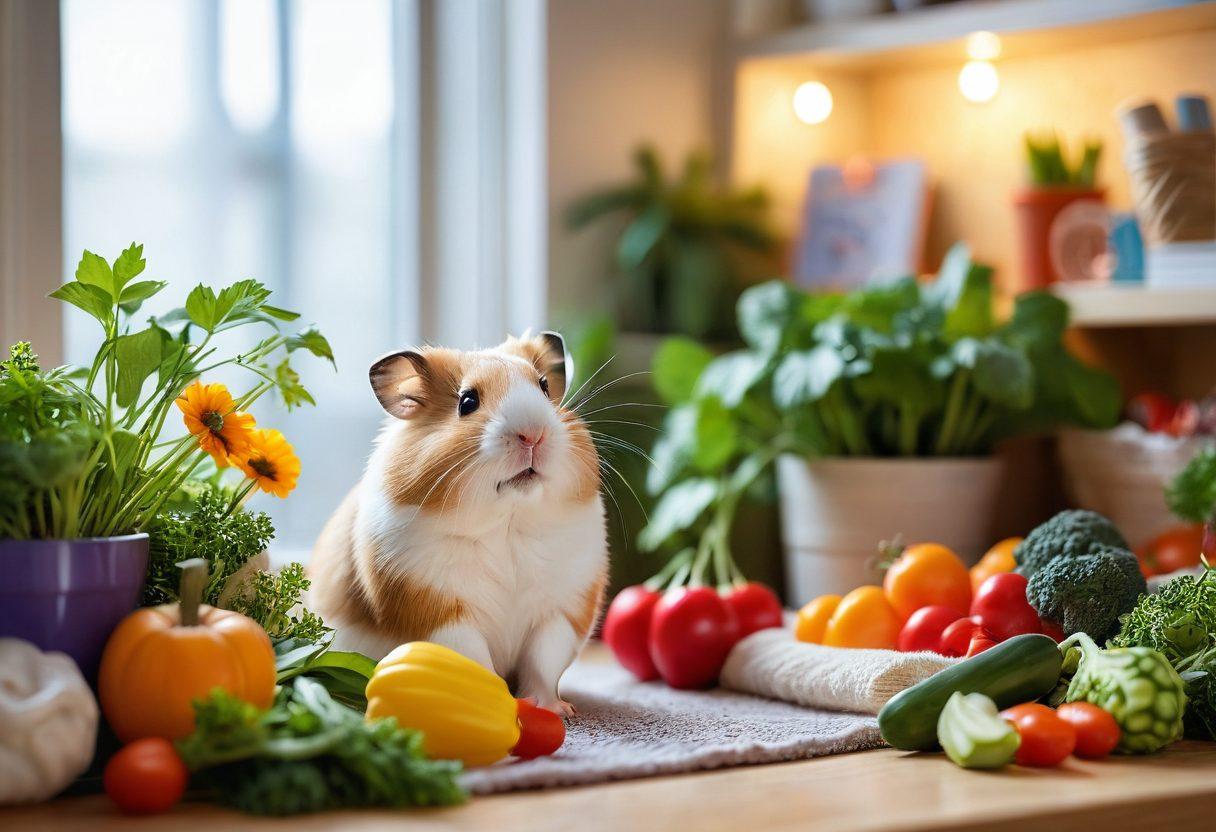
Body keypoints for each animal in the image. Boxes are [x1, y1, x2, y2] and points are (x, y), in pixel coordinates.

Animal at [309, 332, 606, 715]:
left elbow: (543, 664)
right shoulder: (442, 615)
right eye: (467, 402)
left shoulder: (559, 612)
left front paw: (556, 710)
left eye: (542, 387)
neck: (507, 522)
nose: (533, 434)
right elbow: (475, 662)